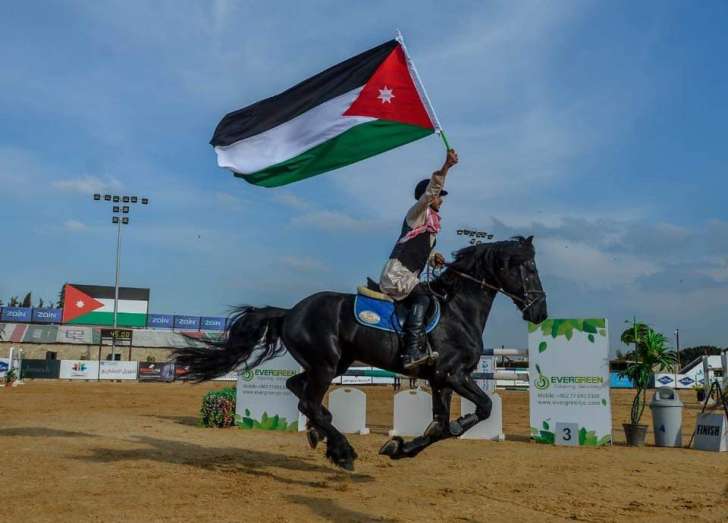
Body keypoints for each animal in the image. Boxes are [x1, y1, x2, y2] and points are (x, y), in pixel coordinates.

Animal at [176, 237, 544, 470]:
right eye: (528, 268)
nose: (540, 311)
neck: (458, 311)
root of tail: (290, 312)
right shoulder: (453, 375)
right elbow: (482, 408)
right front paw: (404, 444)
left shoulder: (441, 379)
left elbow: (441, 427)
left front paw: (399, 448)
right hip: (325, 365)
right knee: (308, 401)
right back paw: (342, 451)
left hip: (334, 363)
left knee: (299, 391)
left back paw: (320, 434)